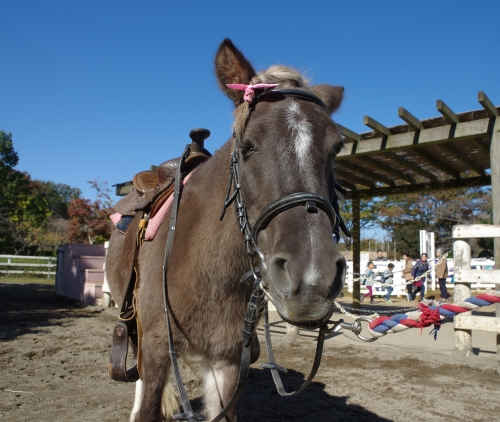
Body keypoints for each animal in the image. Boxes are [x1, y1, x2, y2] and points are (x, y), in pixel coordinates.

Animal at [105, 38, 348, 420]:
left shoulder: (228, 362)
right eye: (247, 146)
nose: (312, 279)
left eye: (337, 148)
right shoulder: (156, 352)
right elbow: (148, 402)